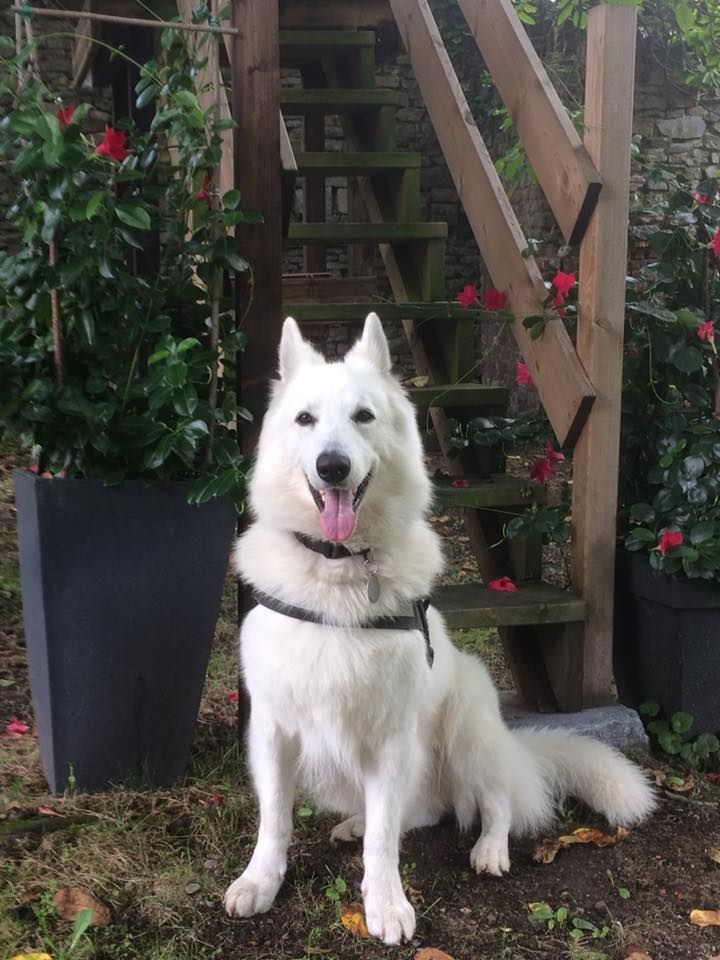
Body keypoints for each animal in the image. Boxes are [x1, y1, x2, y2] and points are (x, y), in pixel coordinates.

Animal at [224, 313, 655, 945]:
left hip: (466, 729)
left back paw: (490, 849)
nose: (332, 467)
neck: (339, 570)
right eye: (305, 419)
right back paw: (355, 823)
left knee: (493, 802)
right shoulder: (274, 732)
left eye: (363, 416)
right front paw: (261, 881)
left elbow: (386, 840)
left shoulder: (391, 737)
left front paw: (386, 904)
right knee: (417, 812)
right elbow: (275, 818)